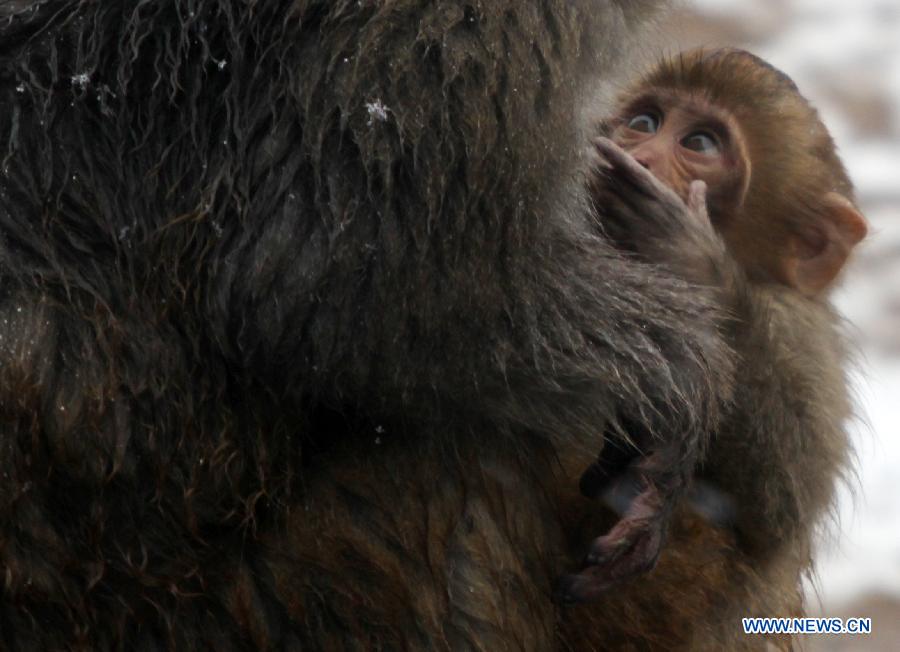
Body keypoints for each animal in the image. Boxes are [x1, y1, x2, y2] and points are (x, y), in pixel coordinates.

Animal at [564, 48, 864, 604]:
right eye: (645, 123)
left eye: (699, 143)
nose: (639, 157)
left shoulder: (800, 334)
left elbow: (776, 505)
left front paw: (692, 265)